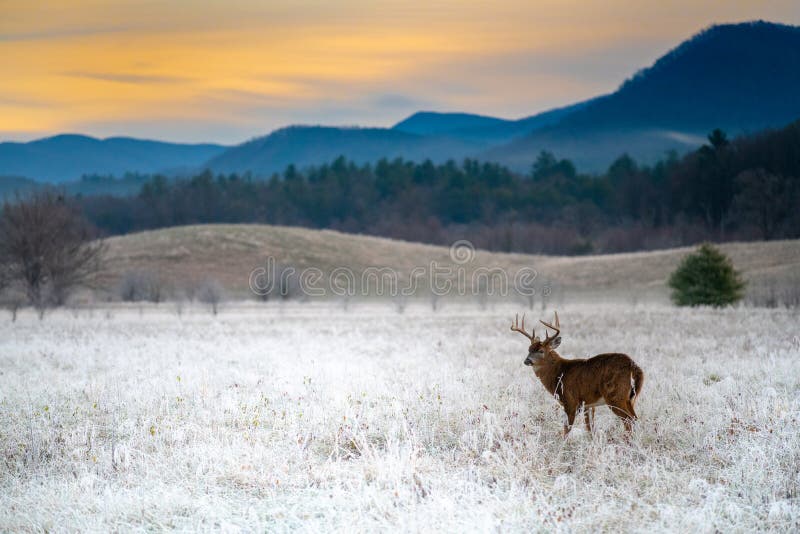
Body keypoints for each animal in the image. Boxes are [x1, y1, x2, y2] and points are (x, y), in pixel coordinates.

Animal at [512, 312, 644, 438]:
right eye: (529, 349)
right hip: (629, 398)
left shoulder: (570, 400)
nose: (527, 361)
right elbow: (590, 428)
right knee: (635, 418)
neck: (559, 373)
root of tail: (633, 365)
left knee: (628, 419)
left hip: (615, 395)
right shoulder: (588, 404)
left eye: (541, 351)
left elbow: (566, 429)